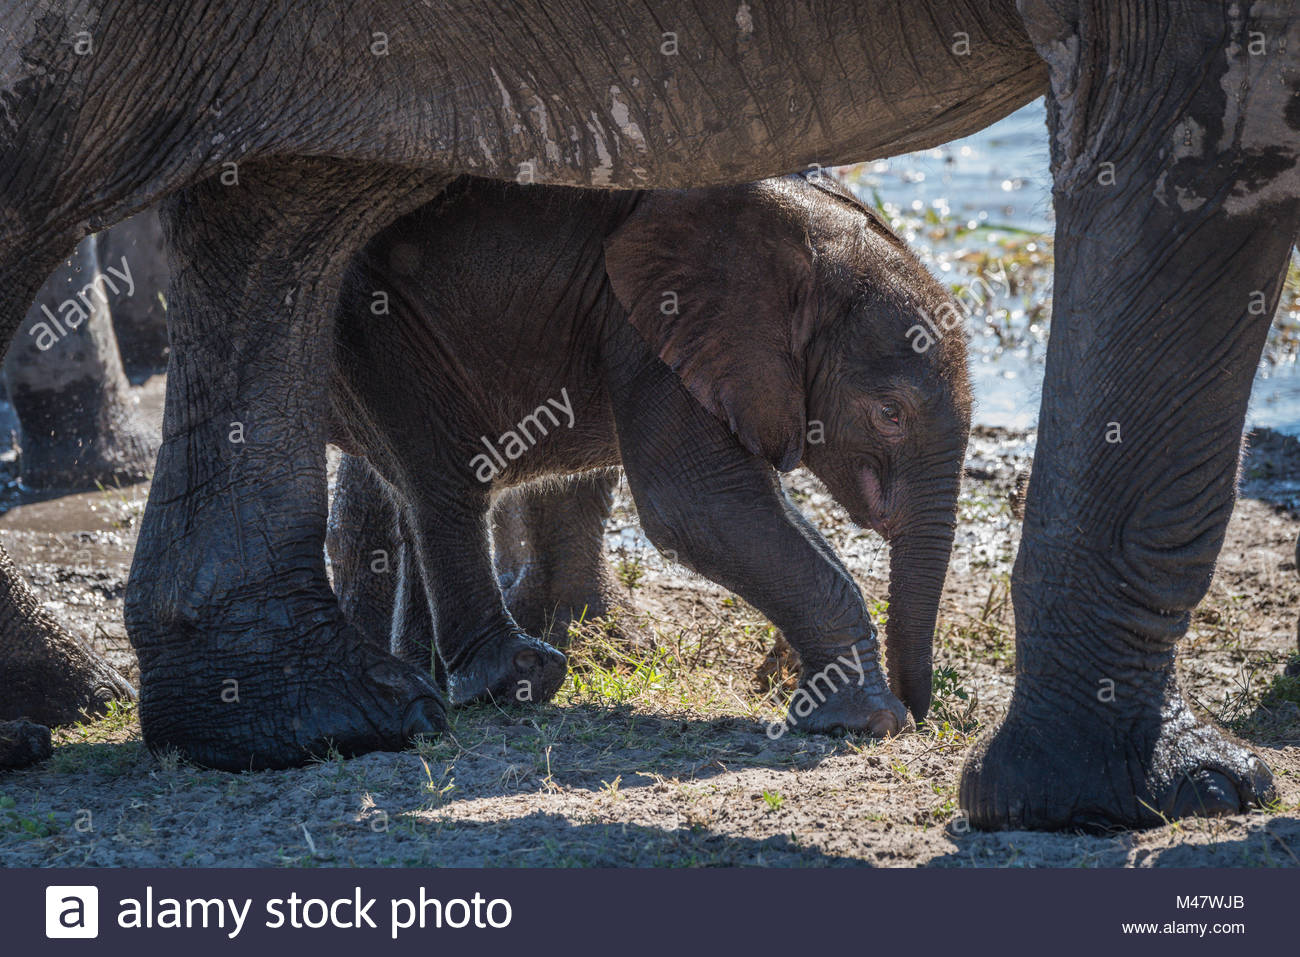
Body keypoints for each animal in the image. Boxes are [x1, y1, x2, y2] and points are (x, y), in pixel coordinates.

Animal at [323, 173, 970, 731]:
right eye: (890, 415)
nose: (922, 711)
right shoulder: (649, 324)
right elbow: (700, 507)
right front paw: (869, 722)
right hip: (374, 318)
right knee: (444, 476)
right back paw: (517, 678)